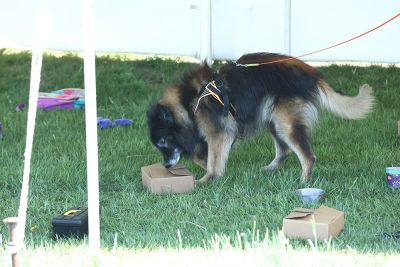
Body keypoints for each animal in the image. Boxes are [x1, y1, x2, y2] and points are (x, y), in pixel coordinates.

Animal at [147, 53, 376, 185]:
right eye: (158, 145)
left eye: (163, 142)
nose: (167, 166)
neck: (189, 102)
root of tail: (312, 75)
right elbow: (202, 156)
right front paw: (209, 167)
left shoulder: (218, 132)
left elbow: (212, 159)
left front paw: (207, 178)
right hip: (273, 119)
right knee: (284, 151)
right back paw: (271, 169)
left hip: (285, 122)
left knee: (307, 156)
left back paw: (303, 181)